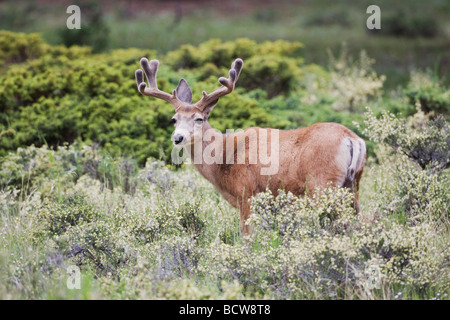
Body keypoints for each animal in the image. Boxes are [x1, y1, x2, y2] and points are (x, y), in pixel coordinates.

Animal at [135, 57, 368, 234]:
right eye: (174, 119)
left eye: (199, 118)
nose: (178, 138)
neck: (224, 158)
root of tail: (352, 138)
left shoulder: (246, 194)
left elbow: (247, 237)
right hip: (353, 184)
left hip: (322, 184)